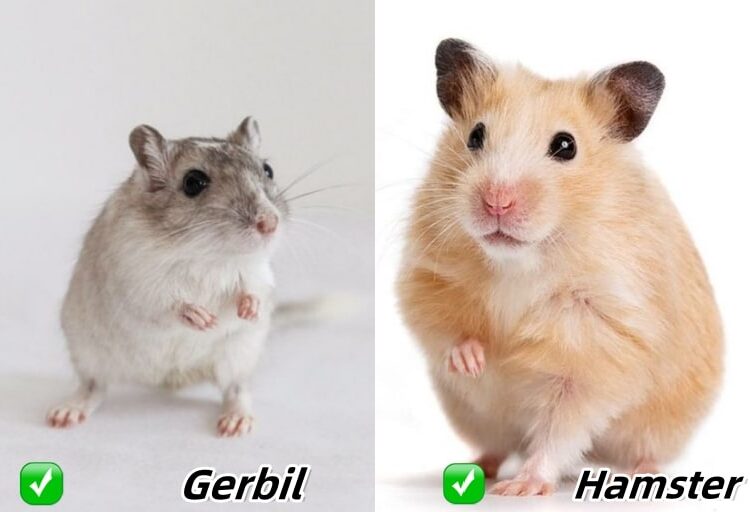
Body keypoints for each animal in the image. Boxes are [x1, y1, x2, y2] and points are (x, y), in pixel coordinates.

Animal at [48, 117, 287, 437]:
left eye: (268, 170)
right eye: (193, 182)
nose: (270, 223)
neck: (208, 253)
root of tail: (168, 378)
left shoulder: (257, 270)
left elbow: (255, 287)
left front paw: (250, 310)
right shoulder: (138, 278)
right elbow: (167, 302)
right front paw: (203, 319)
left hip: (240, 354)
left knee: (235, 388)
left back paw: (236, 423)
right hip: (87, 351)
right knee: (94, 386)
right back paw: (64, 415)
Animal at [397, 39, 722, 496]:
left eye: (566, 146)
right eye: (476, 135)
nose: (496, 202)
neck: (520, 261)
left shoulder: (598, 346)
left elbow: (561, 427)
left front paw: (522, 488)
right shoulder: (427, 274)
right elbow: (442, 327)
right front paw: (474, 361)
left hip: (663, 424)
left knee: (641, 449)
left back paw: (641, 473)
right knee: (496, 446)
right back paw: (479, 467)